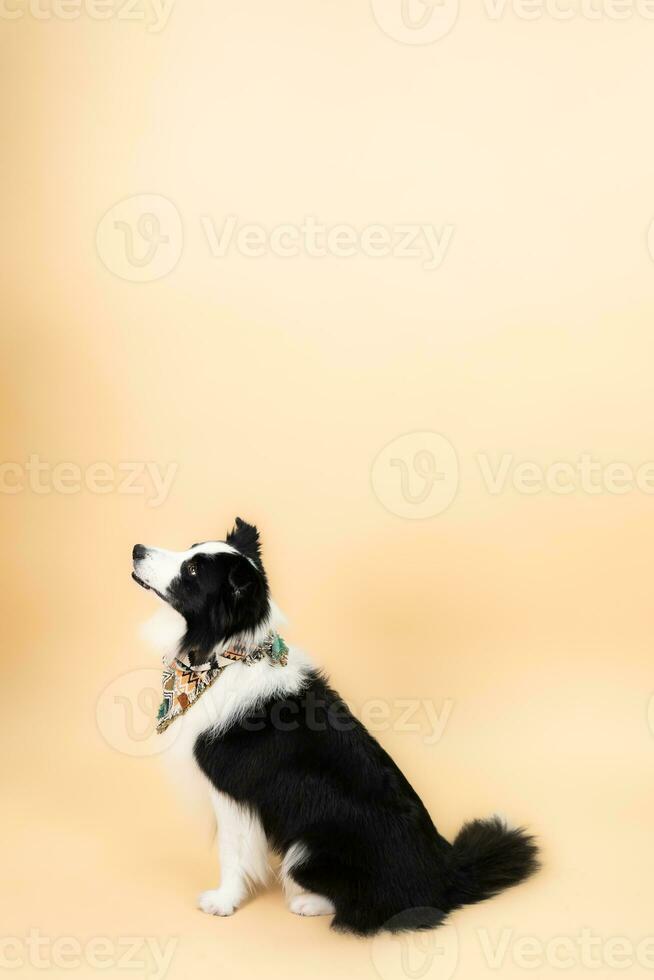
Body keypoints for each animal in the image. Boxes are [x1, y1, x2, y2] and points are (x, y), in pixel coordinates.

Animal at [131, 516, 540, 936]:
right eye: (190, 548)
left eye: (194, 571)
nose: (136, 549)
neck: (226, 657)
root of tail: (446, 875)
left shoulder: (230, 791)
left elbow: (232, 852)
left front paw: (223, 902)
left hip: (306, 847)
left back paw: (307, 902)